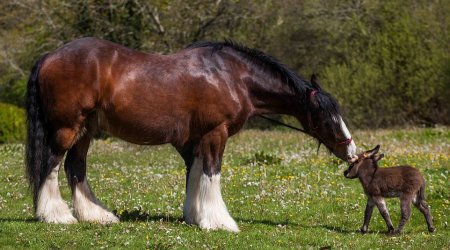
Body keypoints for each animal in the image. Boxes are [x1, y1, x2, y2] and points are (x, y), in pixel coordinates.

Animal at [25, 37, 356, 232]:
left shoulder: (194, 140)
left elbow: (196, 175)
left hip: (86, 130)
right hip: (67, 128)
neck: (232, 76)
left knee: (75, 167)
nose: (352, 153)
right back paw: (57, 215)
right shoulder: (215, 133)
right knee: (51, 165)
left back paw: (96, 215)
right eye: (327, 117)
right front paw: (219, 221)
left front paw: (197, 216)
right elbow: (211, 174)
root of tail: (49, 56)